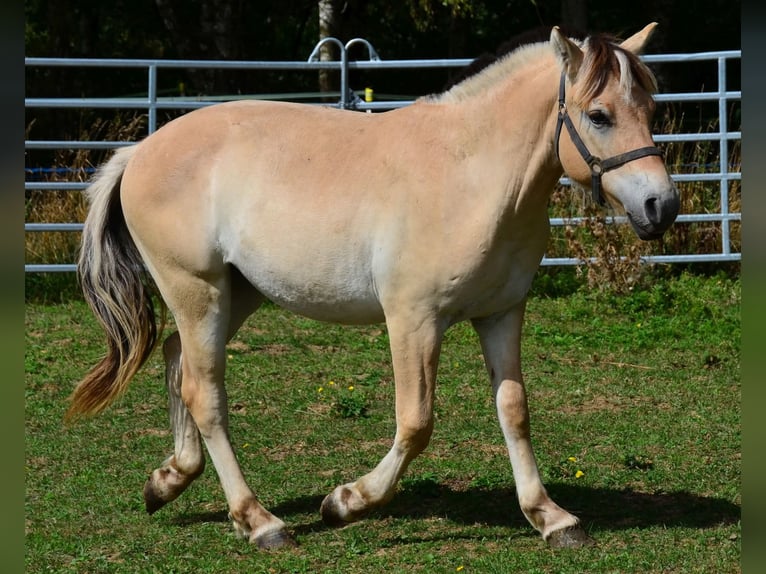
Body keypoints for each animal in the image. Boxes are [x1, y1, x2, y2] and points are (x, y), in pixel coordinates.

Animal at [69, 23, 679, 549]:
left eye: (650, 109)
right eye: (598, 115)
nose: (661, 206)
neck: (470, 172)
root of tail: (140, 152)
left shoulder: (502, 313)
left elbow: (514, 409)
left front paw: (550, 517)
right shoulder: (413, 320)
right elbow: (416, 423)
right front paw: (345, 502)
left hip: (234, 294)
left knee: (177, 360)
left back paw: (169, 480)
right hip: (198, 292)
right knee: (205, 393)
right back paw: (260, 522)